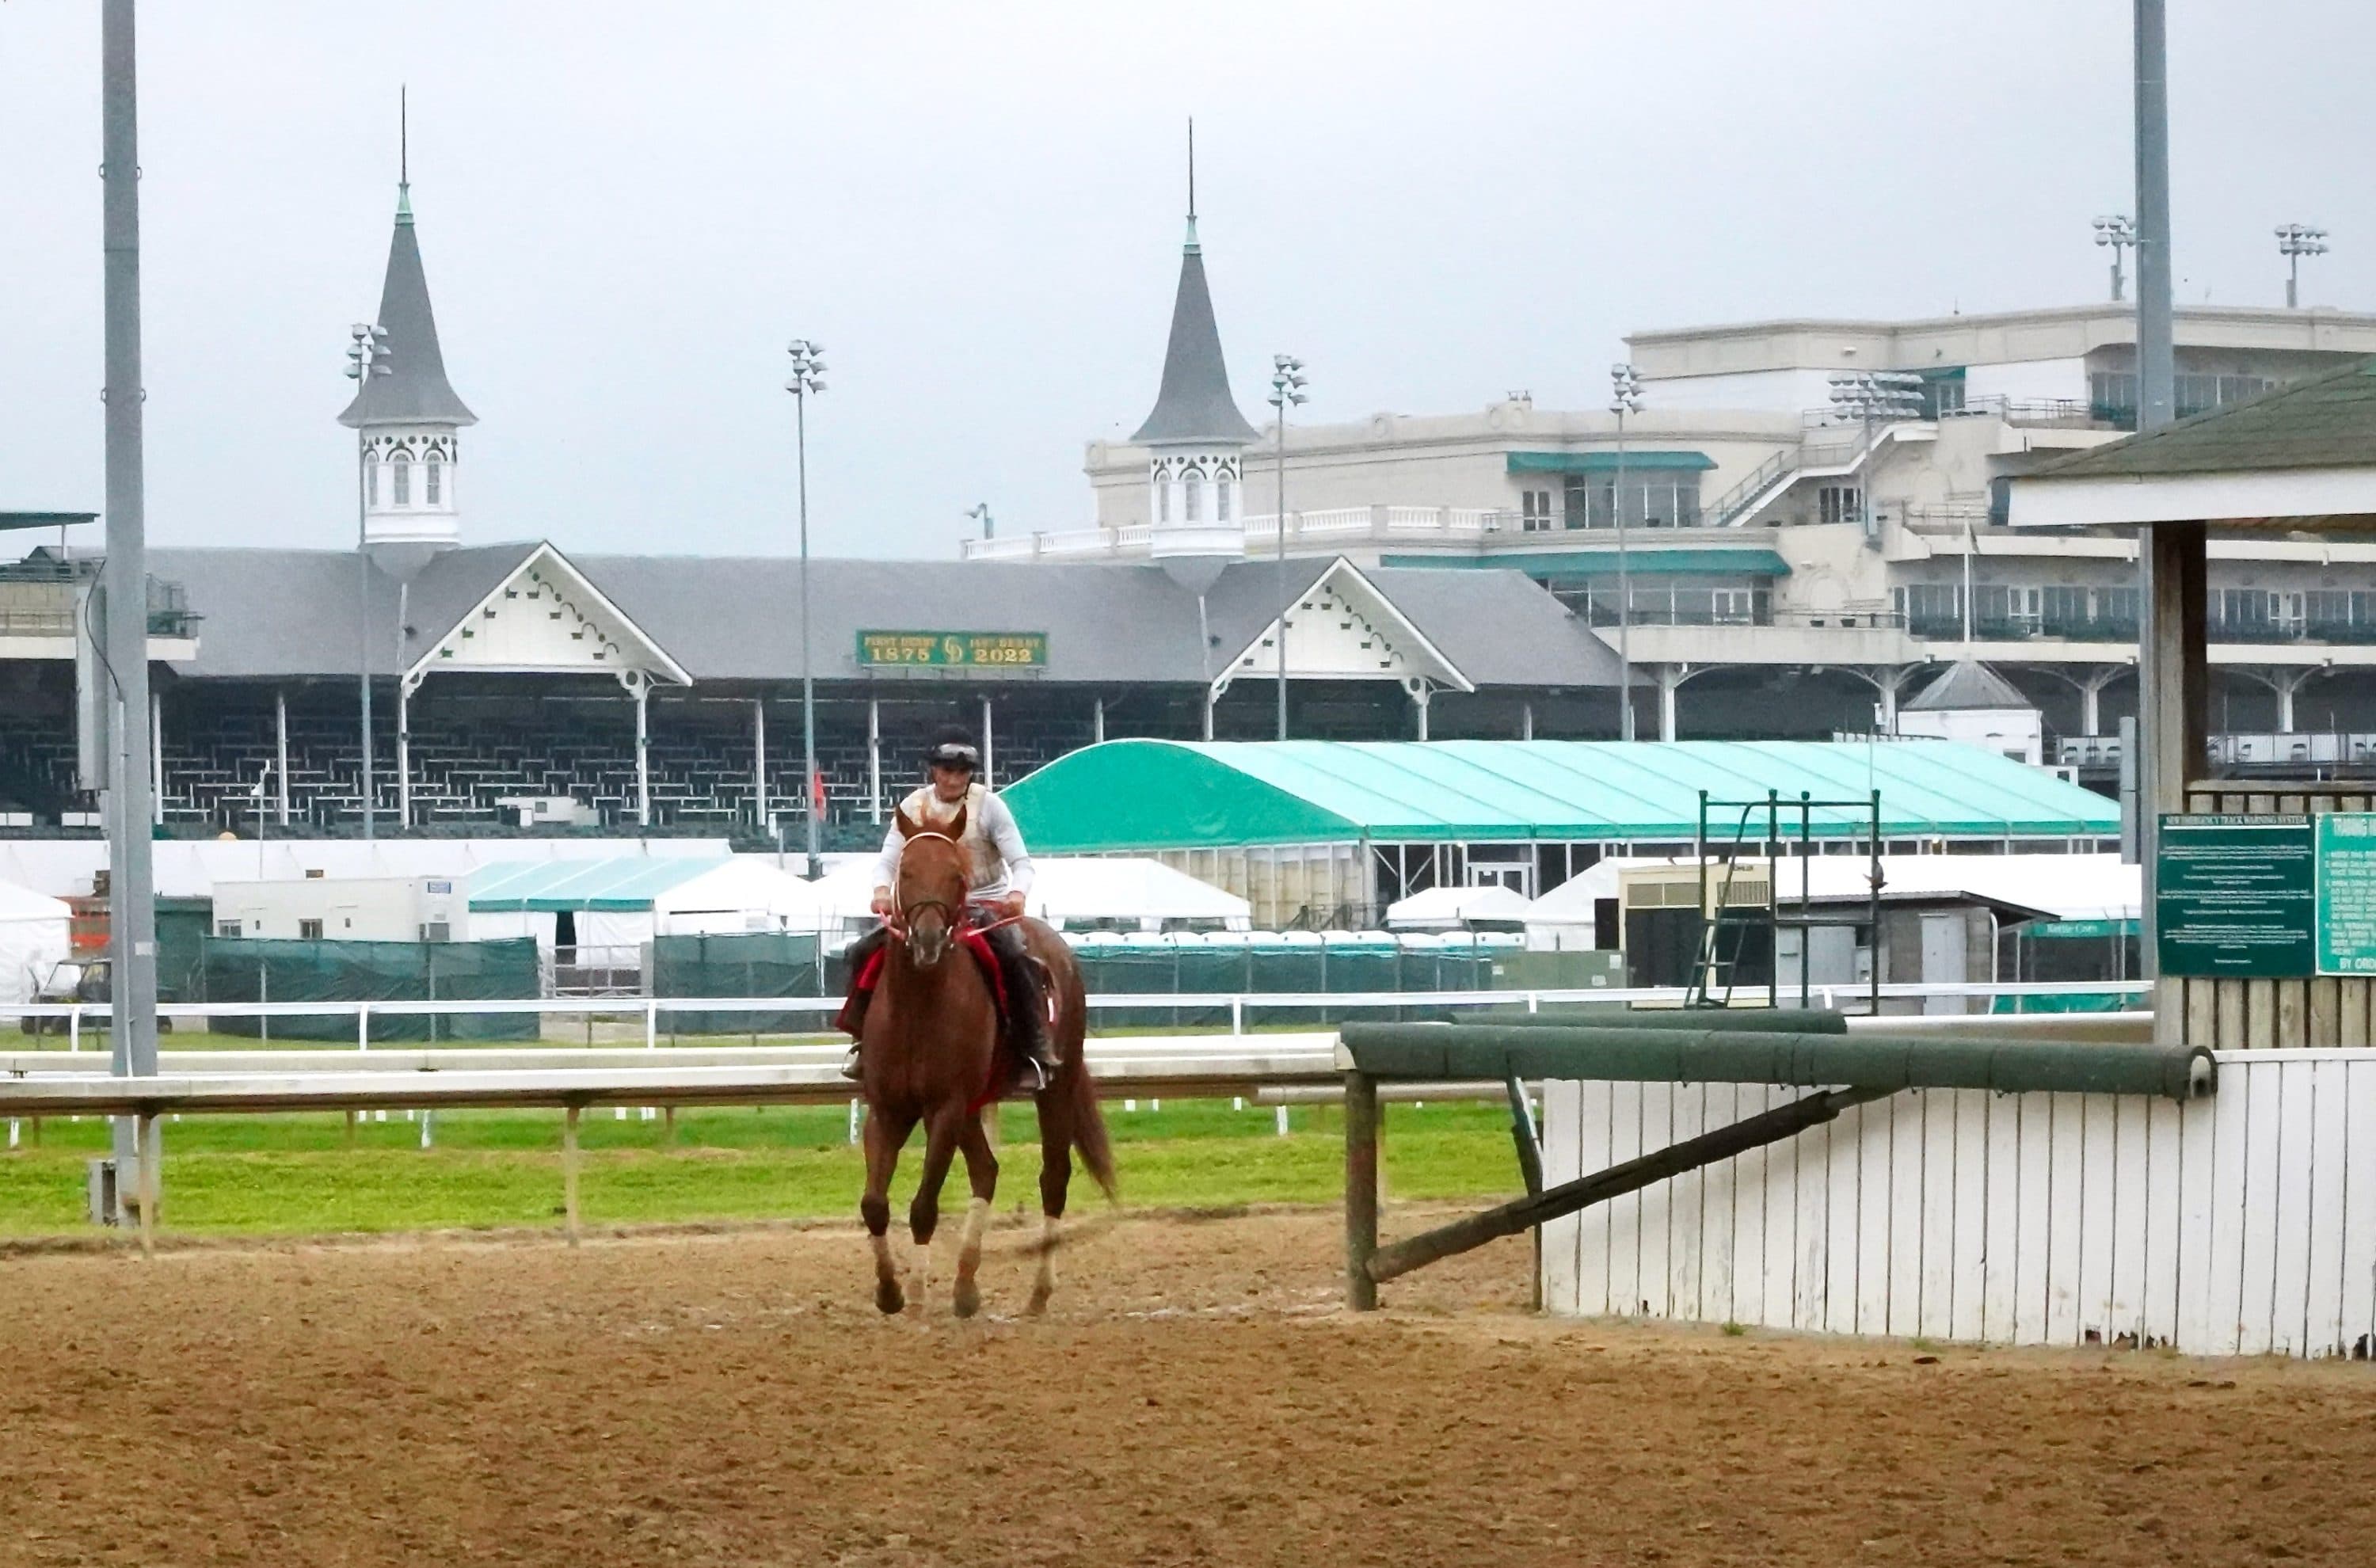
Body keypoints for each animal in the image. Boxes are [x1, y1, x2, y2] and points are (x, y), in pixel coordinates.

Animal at [858, 800, 1115, 1317]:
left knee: (1053, 1177)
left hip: (1054, 1090)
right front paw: (890, 1292)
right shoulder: (889, 1107)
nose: (928, 940)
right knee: (986, 1171)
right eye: (905, 871)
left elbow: (923, 1207)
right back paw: (965, 1287)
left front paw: (918, 1296)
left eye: (957, 874)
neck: (917, 1008)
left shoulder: (946, 1106)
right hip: (976, 1105)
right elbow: (875, 1204)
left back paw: (1038, 1293)